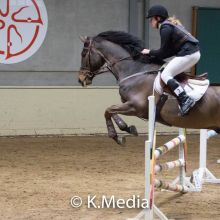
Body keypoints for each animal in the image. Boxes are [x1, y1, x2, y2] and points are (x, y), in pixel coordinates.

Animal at [78, 30, 220, 144]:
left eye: (83, 54)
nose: (81, 79)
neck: (135, 71)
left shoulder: (137, 106)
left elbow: (108, 110)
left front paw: (117, 135)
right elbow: (111, 110)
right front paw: (127, 129)